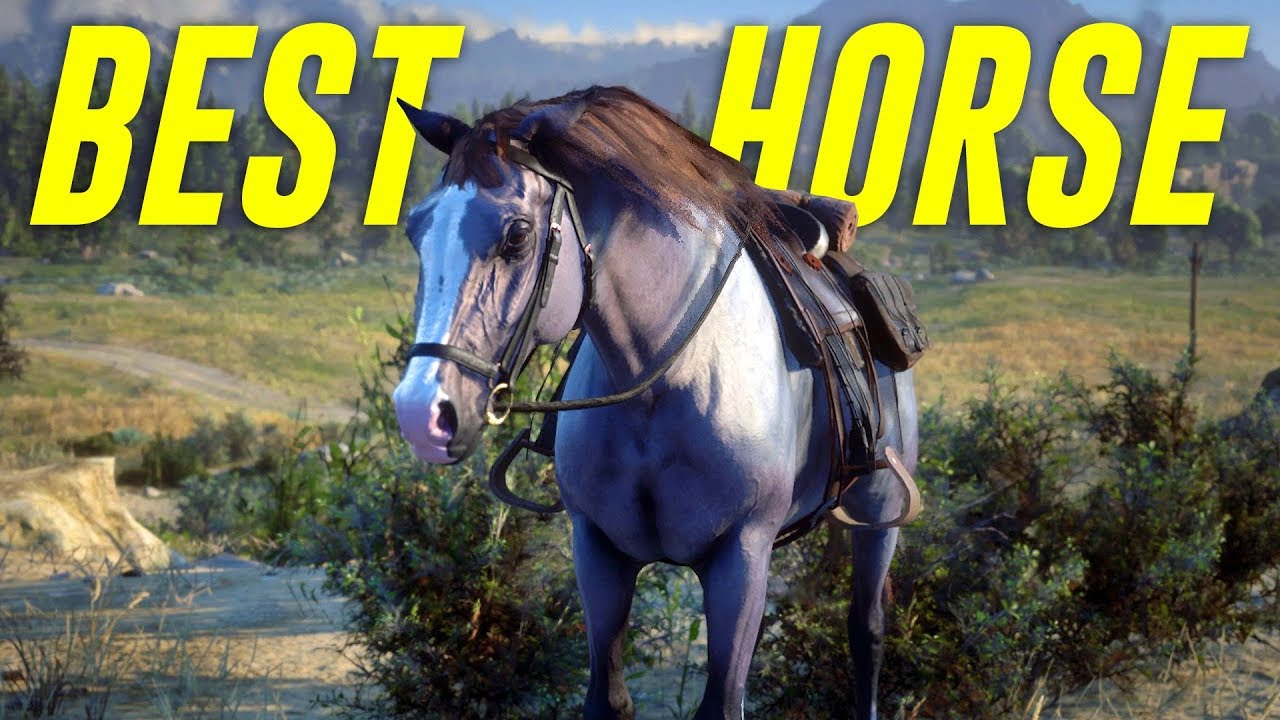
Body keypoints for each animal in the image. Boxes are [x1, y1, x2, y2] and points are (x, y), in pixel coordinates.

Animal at [391, 85, 919, 720]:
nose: (422, 413)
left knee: (866, 631)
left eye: (517, 235)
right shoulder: (598, 551)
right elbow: (609, 696)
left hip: (877, 515)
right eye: (416, 230)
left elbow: (724, 702)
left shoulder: (741, 556)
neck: (665, 382)